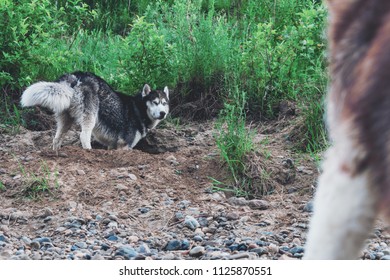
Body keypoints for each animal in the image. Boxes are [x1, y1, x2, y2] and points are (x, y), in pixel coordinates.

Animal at [20, 72, 169, 150]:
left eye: (164, 103)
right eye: (155, 102)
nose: (163, 113)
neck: (139, 109)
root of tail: (77, 76)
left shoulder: (113, 146)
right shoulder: (125, 145)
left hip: (66, 121)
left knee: (56, 139)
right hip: (90, 117)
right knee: (84, 136)